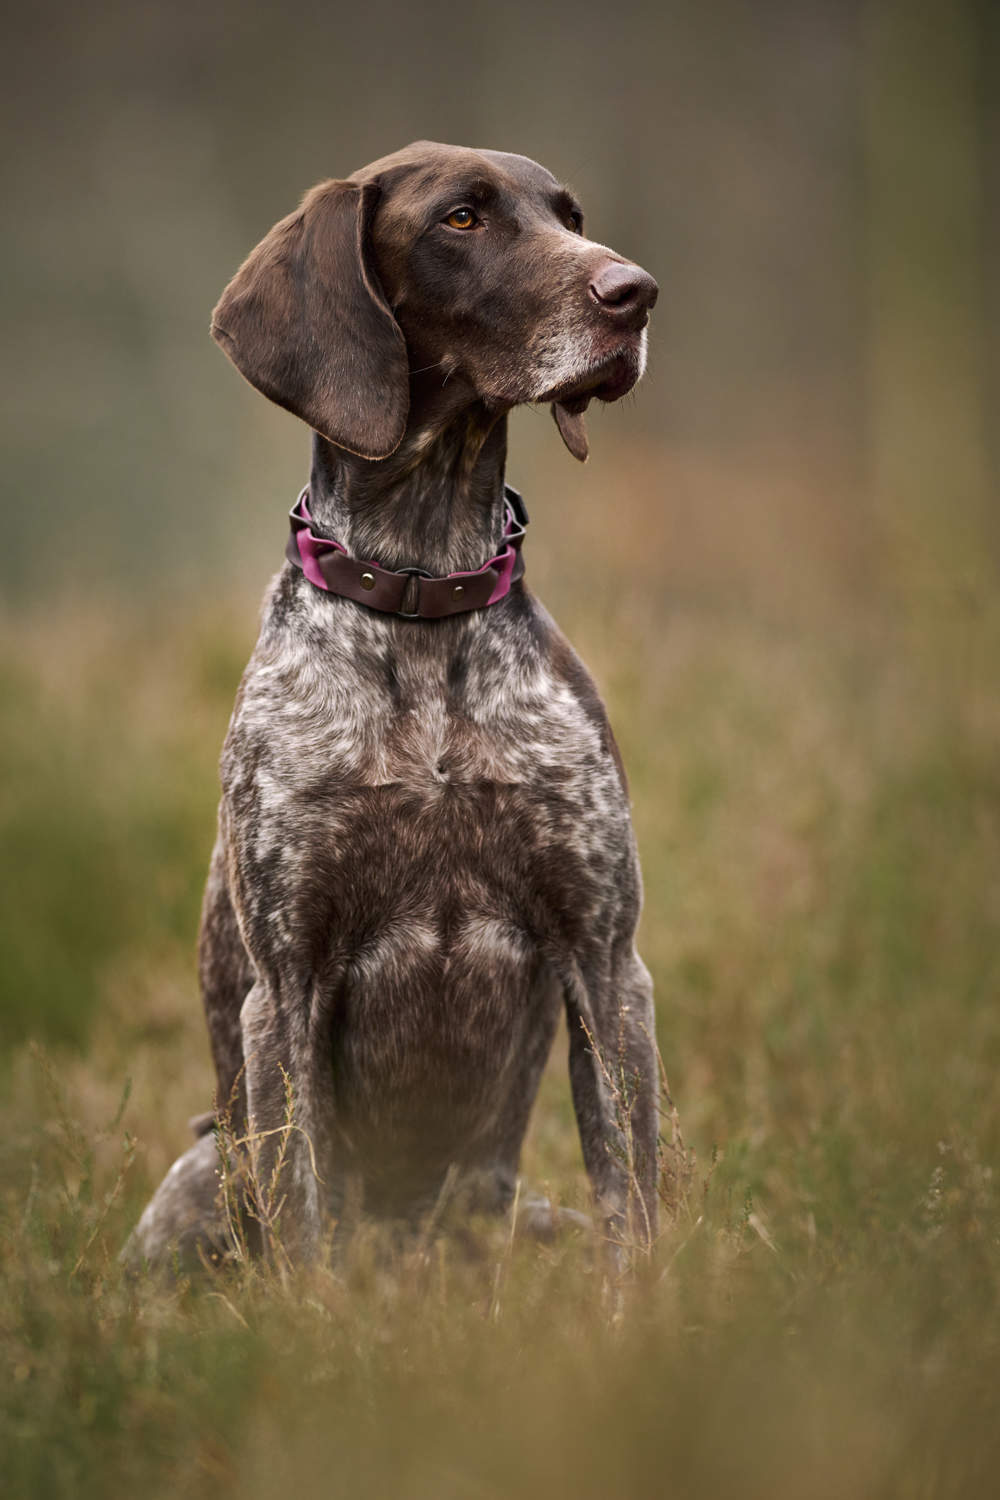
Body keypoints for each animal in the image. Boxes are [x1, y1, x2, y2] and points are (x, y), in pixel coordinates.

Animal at [125, 141, 659, 1272]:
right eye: (461, 218)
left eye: (569, 216)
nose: (635, 293)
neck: (423, 590)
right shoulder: (285, 987)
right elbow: (302, 1220)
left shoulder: (605, 962)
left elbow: (634, 1202)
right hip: (199, 1175)